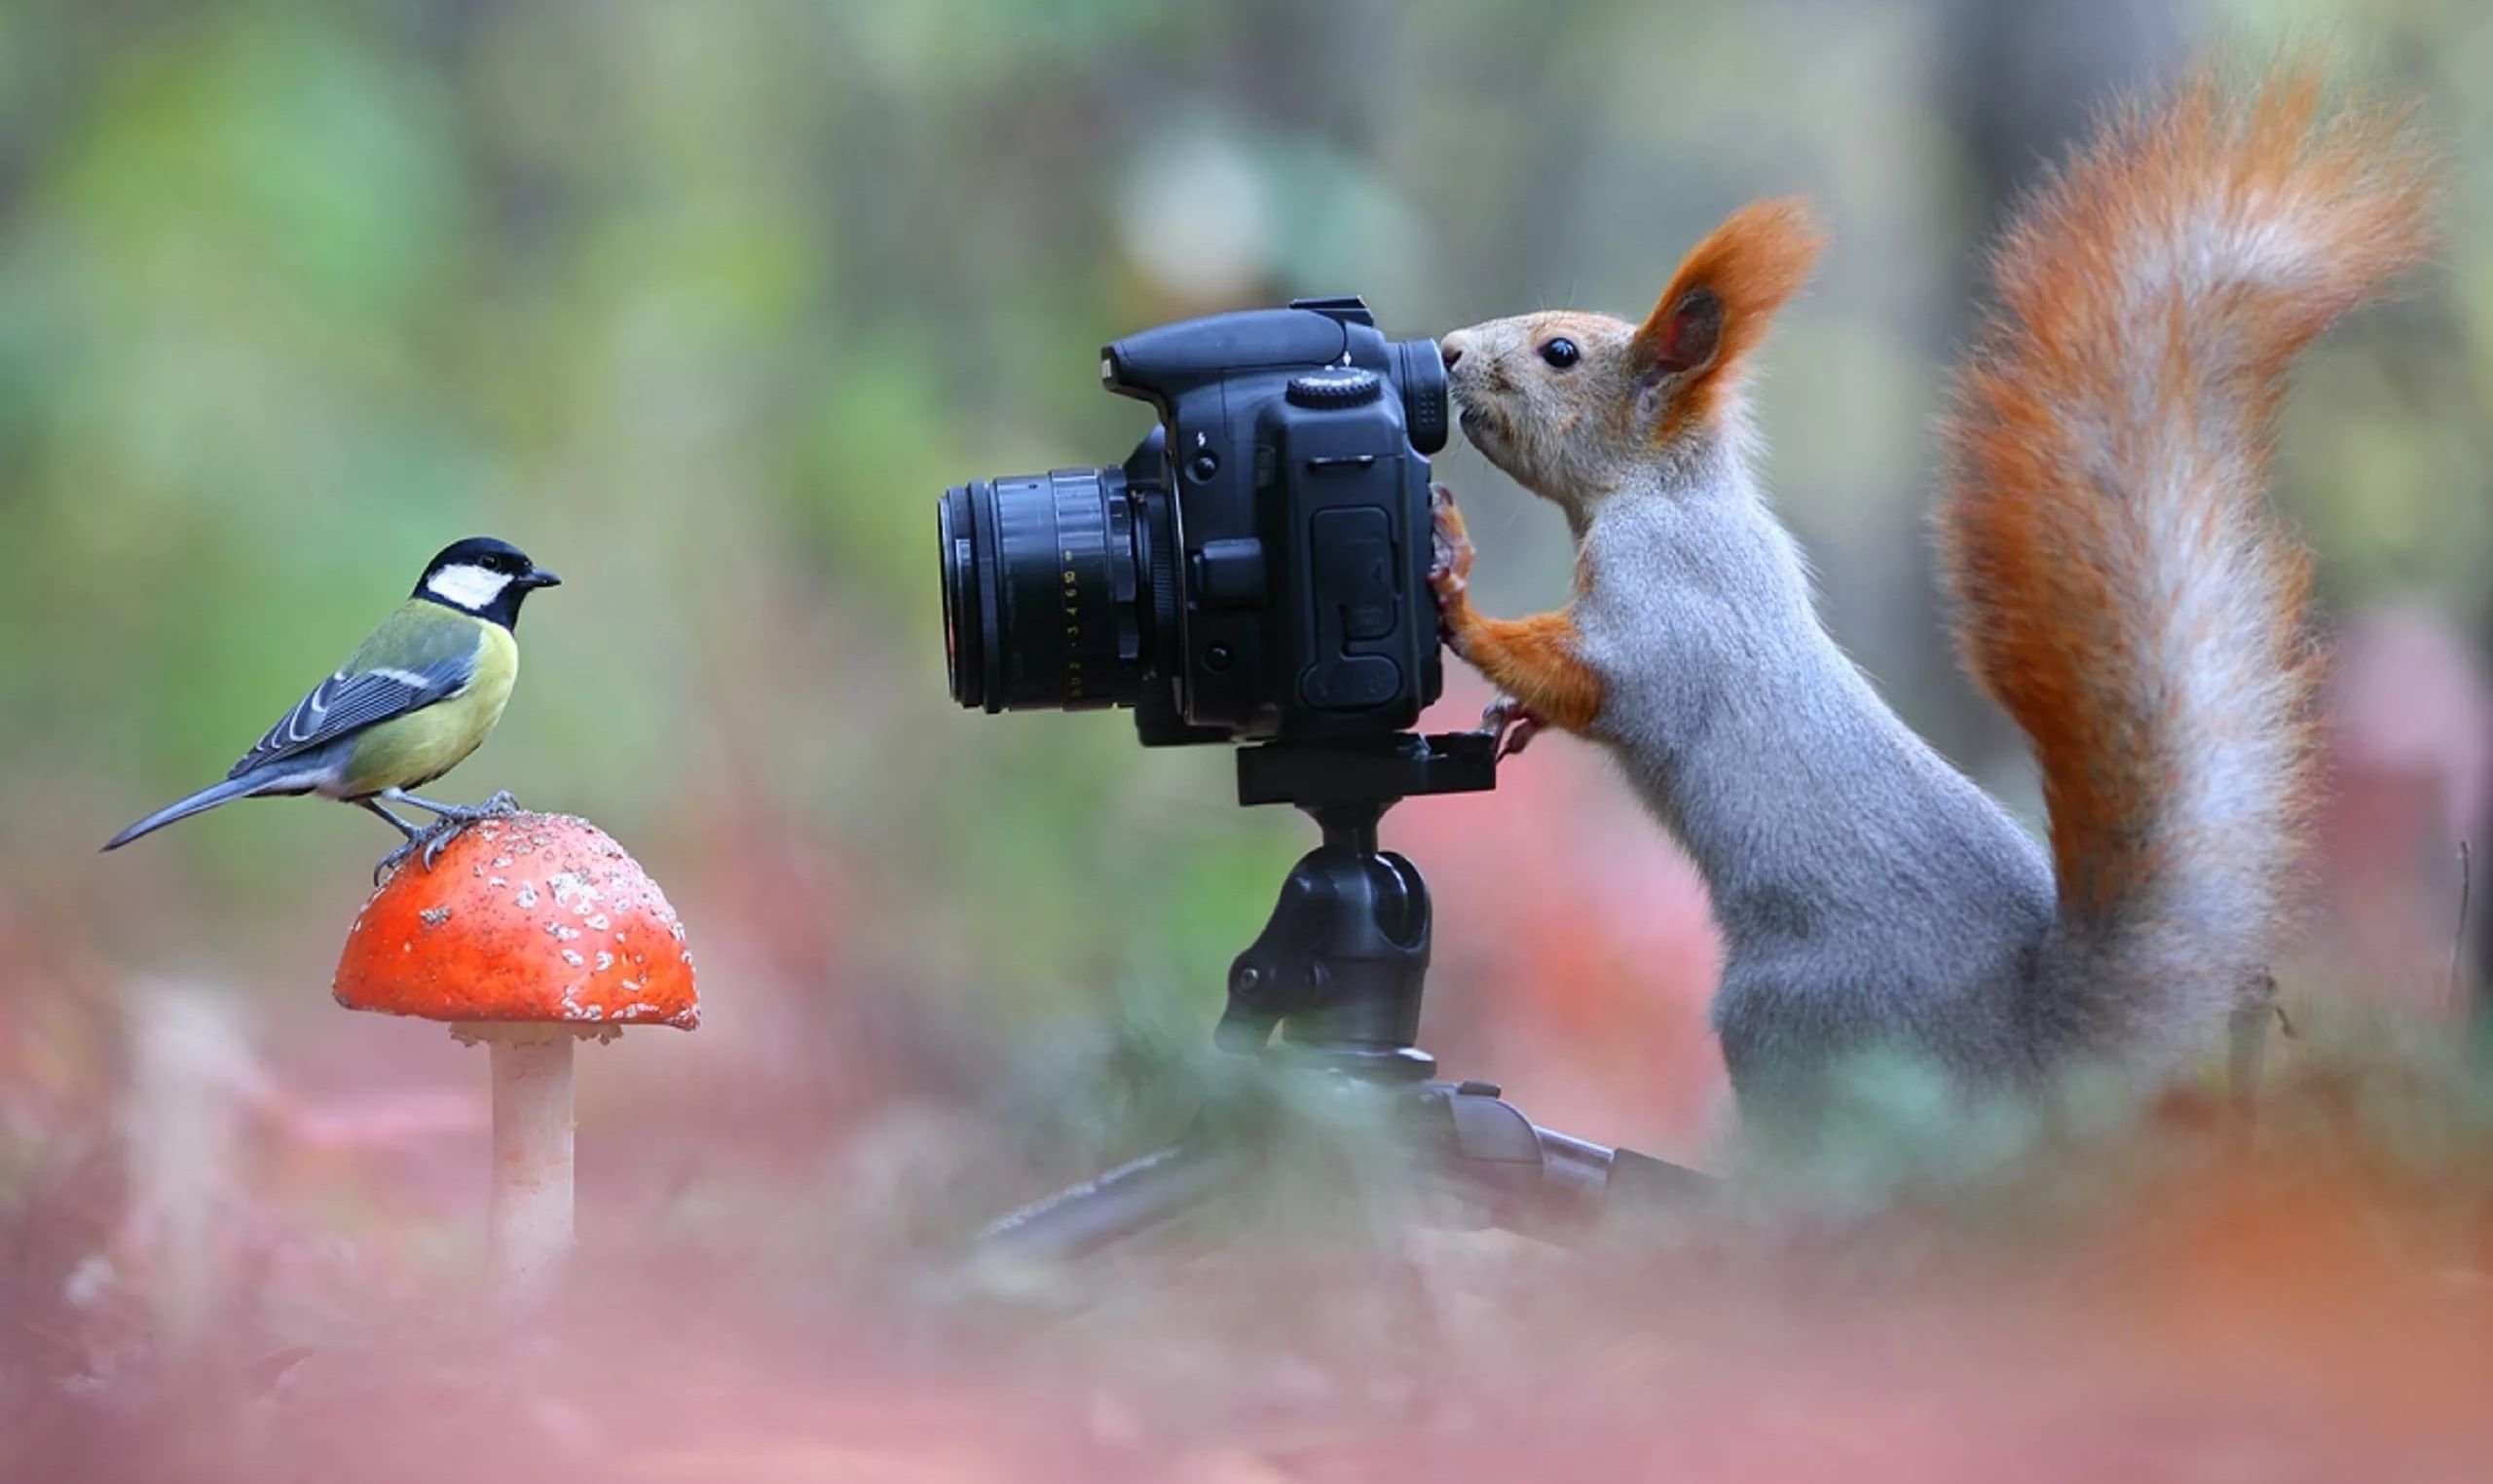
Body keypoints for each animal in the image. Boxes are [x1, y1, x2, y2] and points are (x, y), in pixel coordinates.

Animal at [1426, 57, 2433, 1132]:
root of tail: (2025, 1054)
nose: (1446, 349)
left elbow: (1597, 676)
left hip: (1789, 1013)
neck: (1664, 491)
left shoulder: (1666, 599)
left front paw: (1457, 590)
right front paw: (1510, 716)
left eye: (1559, 353)